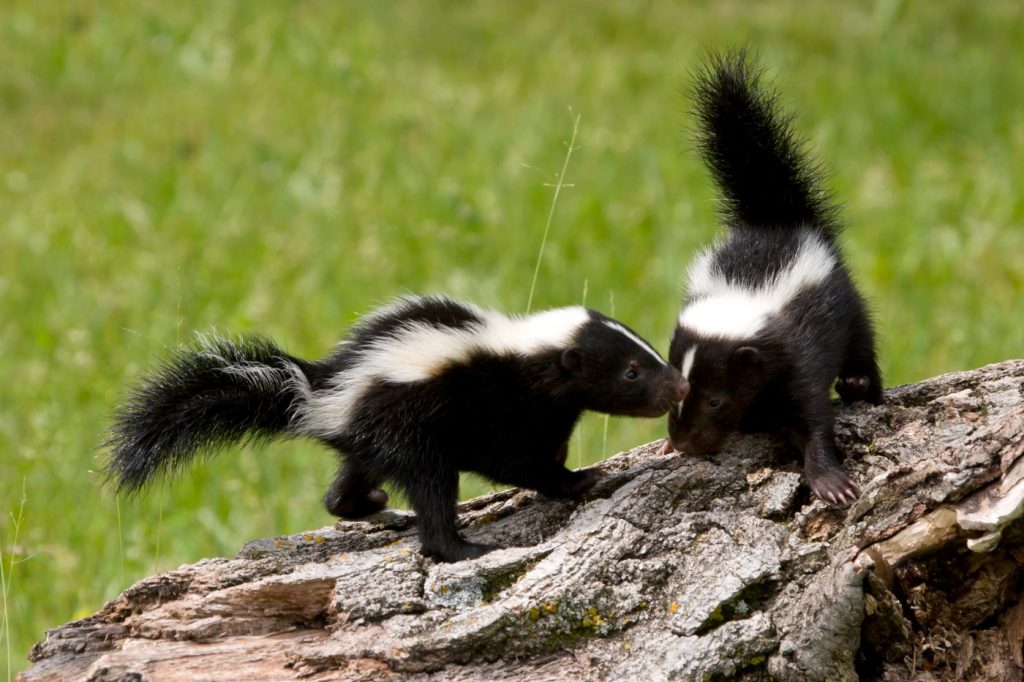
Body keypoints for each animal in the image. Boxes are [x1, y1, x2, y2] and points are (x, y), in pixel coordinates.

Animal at [105, 294, 688, 561]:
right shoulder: (495, 405)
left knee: (343, 489)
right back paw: (459, 547)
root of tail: (321, 394)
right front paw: (578, 480)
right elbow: (515, 459)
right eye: (631, 372)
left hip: (373, 438)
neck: (524, 353)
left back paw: (377, 507)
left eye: (647, 352)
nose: (680, 386)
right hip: (405, 428)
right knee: (431, 490)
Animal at [659, 51, 884, 503]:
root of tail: (777, 217)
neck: (745, 293)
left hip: (845, 299)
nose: (685, 441)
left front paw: (831, 482)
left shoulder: (799, 354)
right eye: (678, 388)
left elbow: (813, 417)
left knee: (863, 342)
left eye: (716, 401)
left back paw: (859, 384)